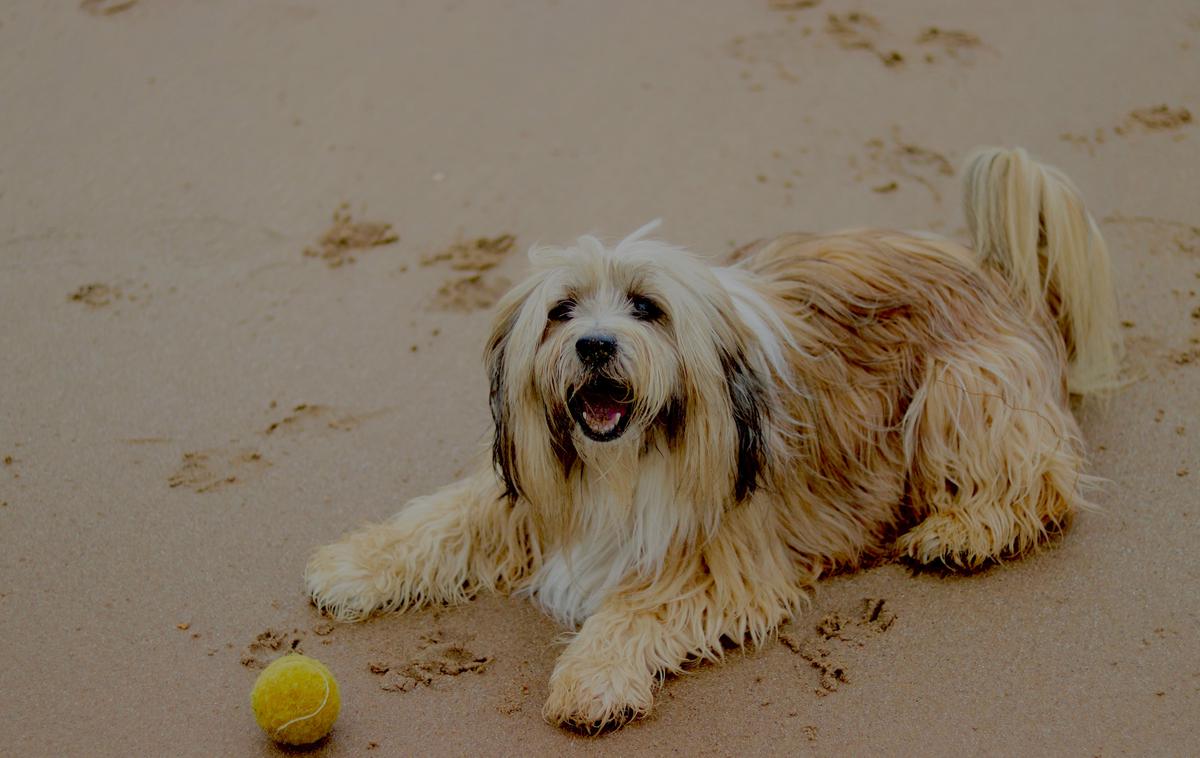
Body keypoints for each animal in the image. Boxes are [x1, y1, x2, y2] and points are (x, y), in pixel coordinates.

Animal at [304, 148, 1118, 734]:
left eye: (646, 307)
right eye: (562, 310)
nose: (595, 345)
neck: (624, 464)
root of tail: (998, 269)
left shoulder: (718, 552)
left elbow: (636, 607)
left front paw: (592, 678)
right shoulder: (527, 492)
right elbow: (439, 520)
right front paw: (353, 565)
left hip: (961, 390)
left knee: (1039, 482)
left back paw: (963, 530)